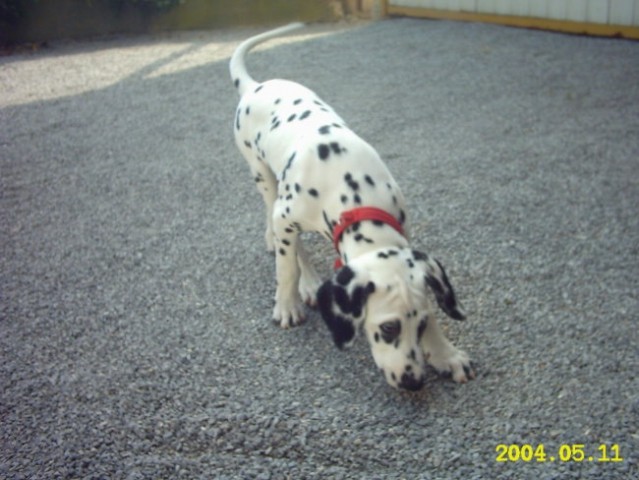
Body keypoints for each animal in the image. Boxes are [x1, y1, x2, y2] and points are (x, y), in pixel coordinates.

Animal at [231, 23, 476, 390]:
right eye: (388, 328)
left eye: (420, 324)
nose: (414, 382)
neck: (353, 192)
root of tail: (255, 86)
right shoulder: (286, 216)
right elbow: (286, 268)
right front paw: (286, 303)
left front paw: (445, 354)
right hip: (263, 177)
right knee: (282, 232)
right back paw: (302, 278)